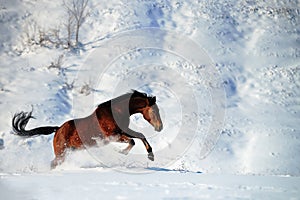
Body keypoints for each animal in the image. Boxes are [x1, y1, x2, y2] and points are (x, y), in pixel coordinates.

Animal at [11, 90, 163, 168]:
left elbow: (140, 136)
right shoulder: (112, 136)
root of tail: (57, 129)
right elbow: (132, 141)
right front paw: (121, 152)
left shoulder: (122, 131)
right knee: (53, 163)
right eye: (155, 111)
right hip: (61, 153)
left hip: (69, 152)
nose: (160, 127)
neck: (114, 113)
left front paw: (151, 156)